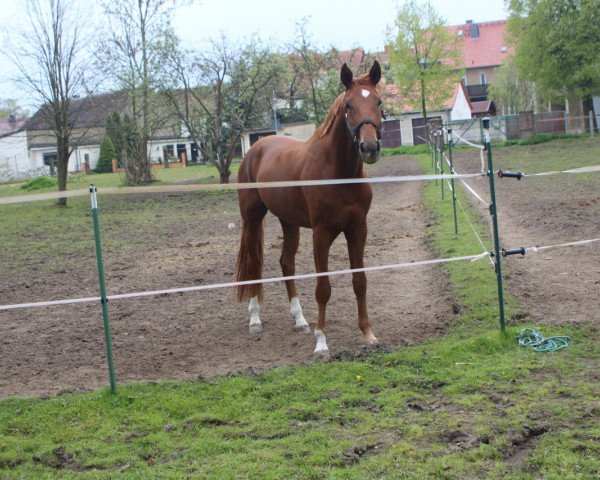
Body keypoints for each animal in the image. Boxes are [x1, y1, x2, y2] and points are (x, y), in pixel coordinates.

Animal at [236, 61, 384, 360]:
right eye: (348, 105)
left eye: (378, 101)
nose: (370, 147)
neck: (338, 174)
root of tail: (256, 147)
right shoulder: (321, 234)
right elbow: (323, 288)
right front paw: (321, 343)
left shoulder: (358, 230)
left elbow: (360, 281)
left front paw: (368, 333)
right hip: (252, 218)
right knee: (255, 263)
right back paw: (255, 319)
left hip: (288, 222)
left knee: (286, 263)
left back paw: (300, 319)